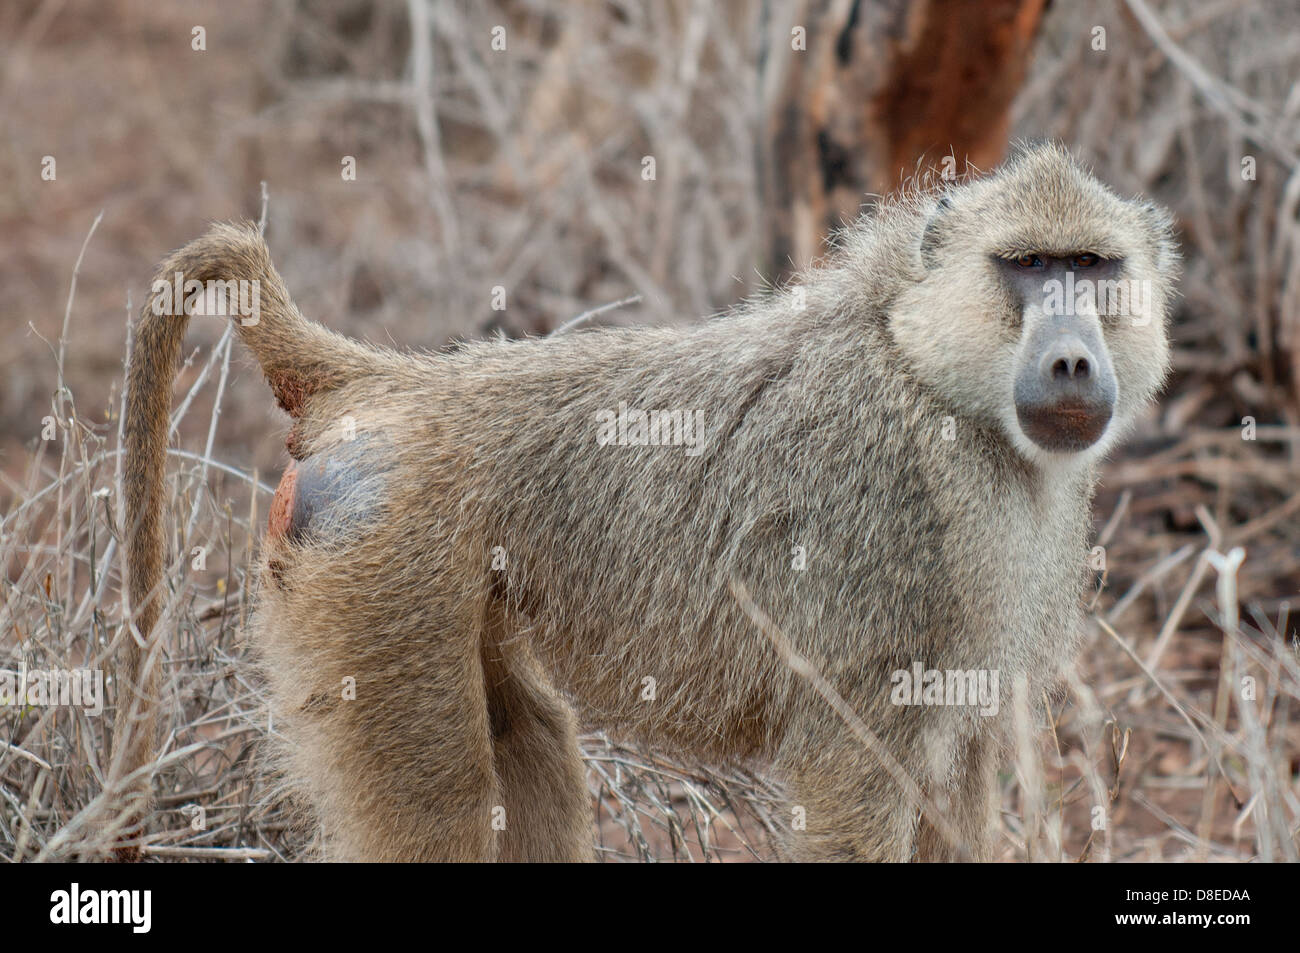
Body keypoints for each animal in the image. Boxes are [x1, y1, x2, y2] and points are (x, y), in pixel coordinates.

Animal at [115, 141, 1177, 861]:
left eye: (1092, 267)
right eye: (1029, 266)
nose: (1072, 359)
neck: (932, 375)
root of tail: (390, 384)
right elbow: (850, 795)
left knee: (532, 748)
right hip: (378, 573)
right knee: (444, 807)